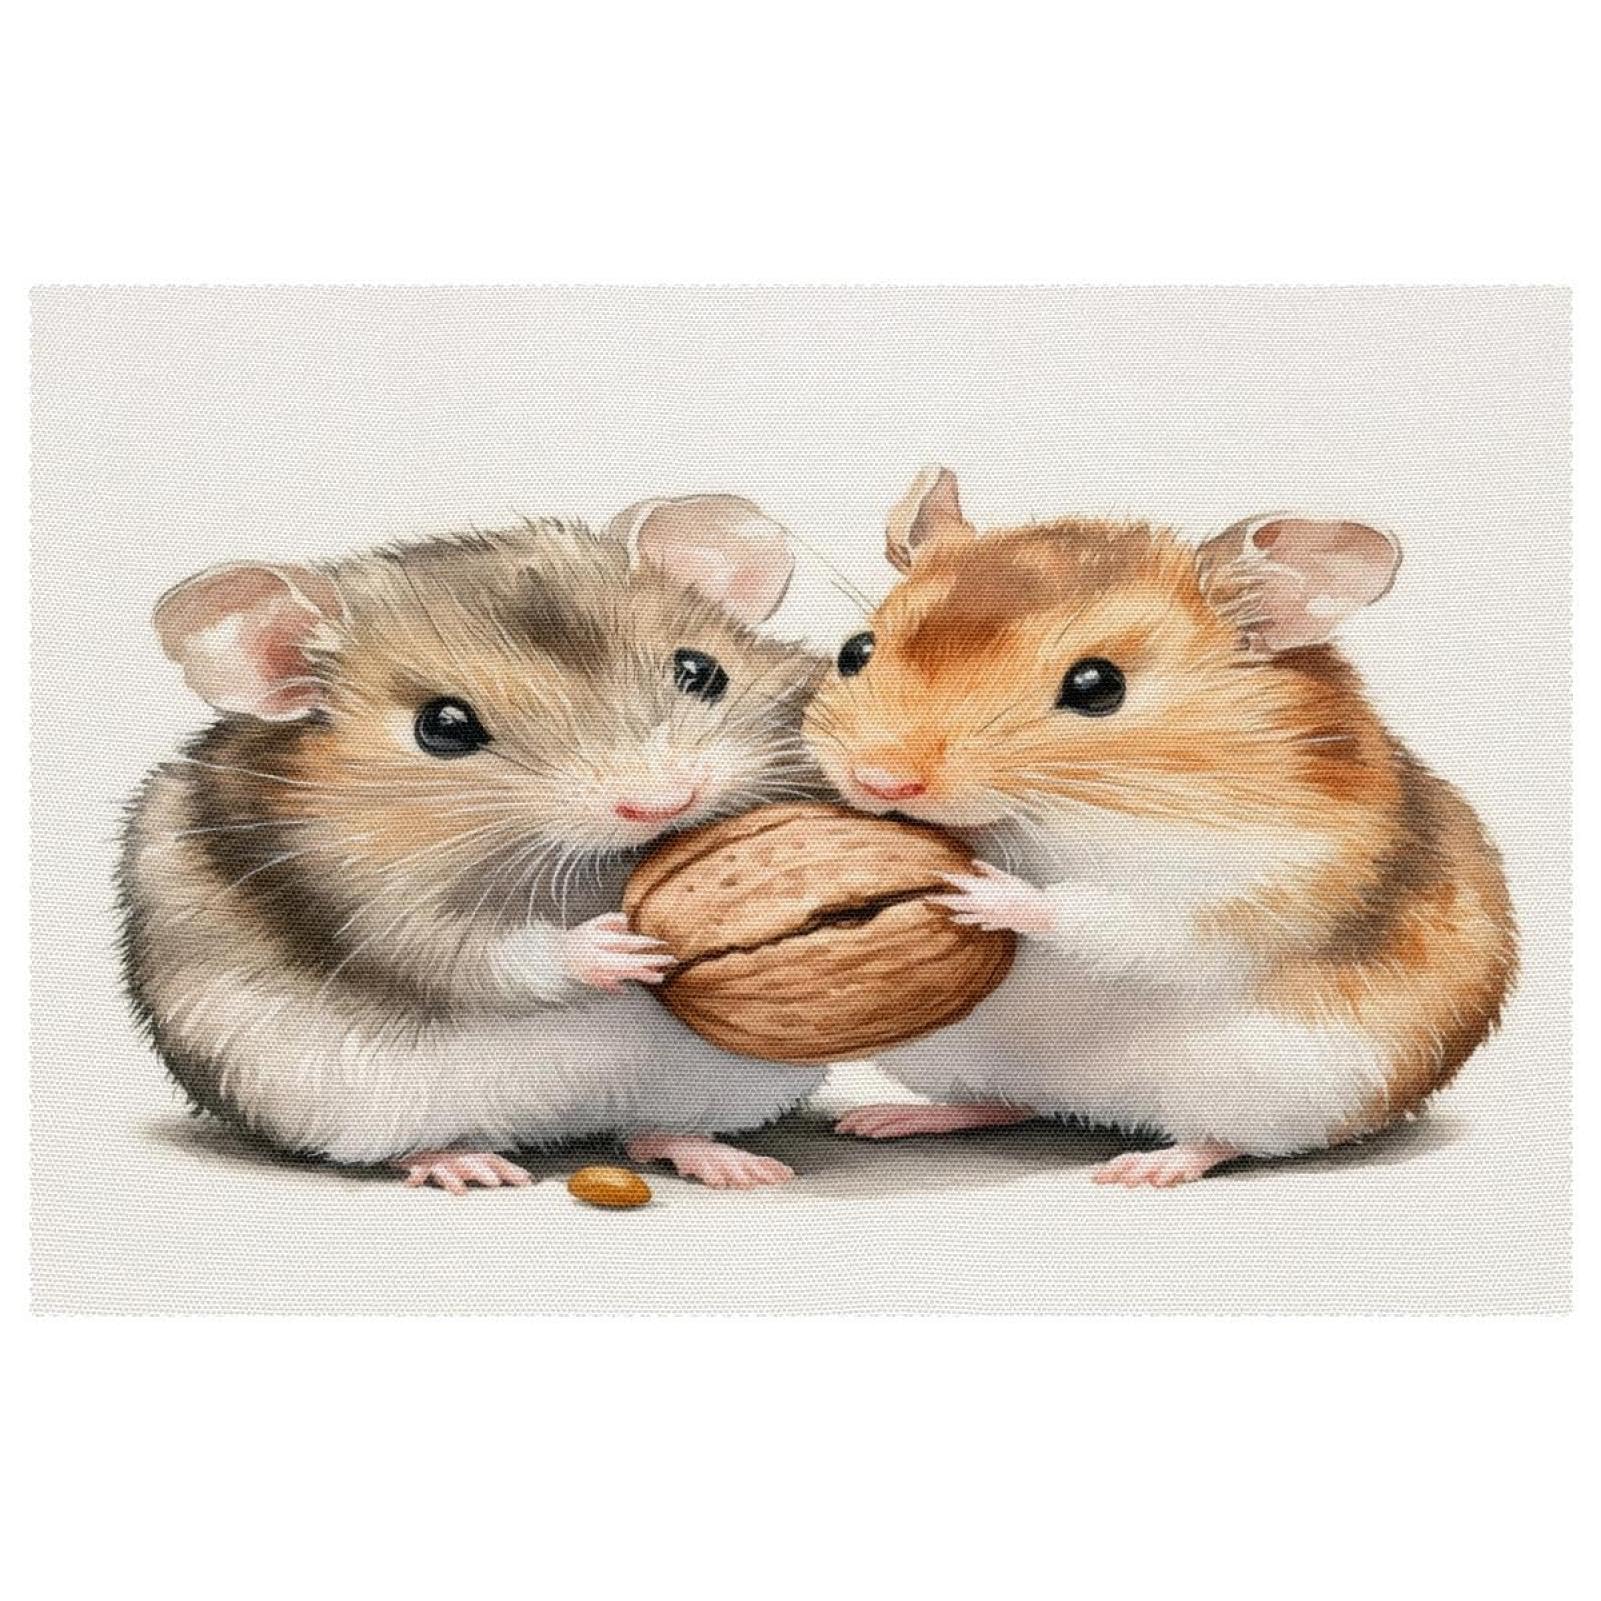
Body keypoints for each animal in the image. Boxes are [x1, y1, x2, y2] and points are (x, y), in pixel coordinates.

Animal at [120, 495, 831, 1192]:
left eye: (700, 671)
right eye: (443, 726)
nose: (662, 803)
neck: (601, 873)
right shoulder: (365, 909)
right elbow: (485, 954)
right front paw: (618, 946)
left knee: (651, 1132)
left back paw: (736, 1165)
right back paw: (468, 1165)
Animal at [803, 467, 1516, 1186]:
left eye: (1097, 686)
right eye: (855, 650)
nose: (881, 780)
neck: (1057, 821)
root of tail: (1089, 1104)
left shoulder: (1244, 882)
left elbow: (1110, 917)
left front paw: (979, 888)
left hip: (1288, 1083)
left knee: (1223, 1138)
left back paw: (1140, 1169)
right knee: (1002, 1102)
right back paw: (880, 1119)